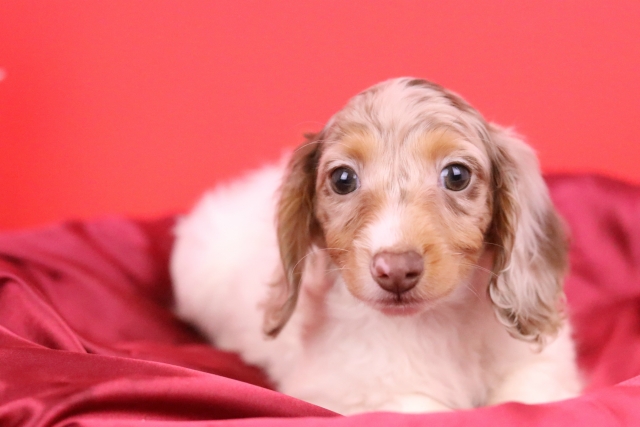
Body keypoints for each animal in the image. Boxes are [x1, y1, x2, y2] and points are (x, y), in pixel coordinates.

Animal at [172, 77, 584, 414]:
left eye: (457, 175)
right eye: (343, 179)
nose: (396, 270)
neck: (436, 323)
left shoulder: (541, 370)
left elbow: (525, 398)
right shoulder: (349, 394)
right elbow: (418, 406)